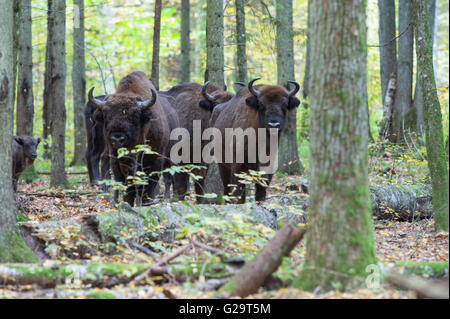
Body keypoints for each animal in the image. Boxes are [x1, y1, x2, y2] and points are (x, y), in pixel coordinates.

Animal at [87, 71, 182, 206]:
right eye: (107, 115)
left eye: (134, 116)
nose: (117, 139)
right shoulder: (116, 160)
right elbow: (126, 184)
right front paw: (128, 202)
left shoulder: (156, 159)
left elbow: (149, 183)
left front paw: (146, 202)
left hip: (170, 157)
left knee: (167, 178)